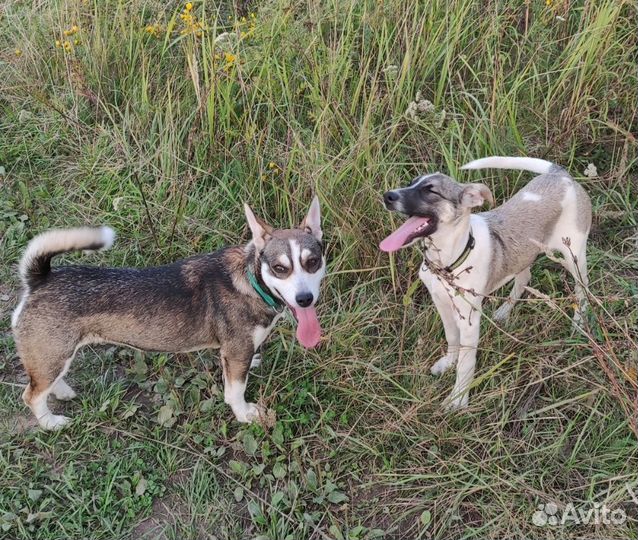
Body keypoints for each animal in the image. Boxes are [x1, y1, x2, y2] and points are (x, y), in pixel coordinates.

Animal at [12, 198, 328, 430]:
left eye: (312, 262)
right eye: (280, 268)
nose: (304, 299)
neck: (251, 281)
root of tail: (39, 280)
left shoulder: (236, 354)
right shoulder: (237, 351)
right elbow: (235, 392)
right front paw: (245, 414)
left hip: (54, 355)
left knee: (44, 381)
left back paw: (62, 391)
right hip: (54, 353)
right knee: (31, 395)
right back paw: (51, 423)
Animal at [380, 156, 596, 410]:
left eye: (430, 190)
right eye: (411, 183)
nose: (387, 195)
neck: (449, 261)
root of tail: (560, 175)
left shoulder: (469, 320)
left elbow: (466, 363)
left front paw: (458, 399)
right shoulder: (442, 304)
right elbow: (451, 338)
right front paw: (448, 363)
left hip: (574, 255)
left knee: (582, 288)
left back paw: (579, 322)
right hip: (524, 253)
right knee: (524, 278)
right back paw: (504, 311)